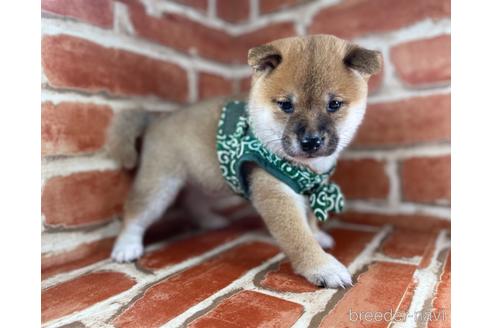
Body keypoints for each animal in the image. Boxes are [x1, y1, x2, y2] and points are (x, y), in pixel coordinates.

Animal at [109, 34, 382, 288]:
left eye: (334, 104)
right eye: (285, 105)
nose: (311, 141)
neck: (307, 168)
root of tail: (156, 121)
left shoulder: (311, 187)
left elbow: (310, 219)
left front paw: (318, 235)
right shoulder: (276, 194)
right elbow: (298, 236)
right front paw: (322, 266)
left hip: (208, 180)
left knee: (194, 200)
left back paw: (210, 220)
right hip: (158, 187)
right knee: (135, 214)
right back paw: (126, 246)